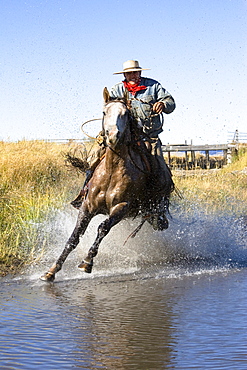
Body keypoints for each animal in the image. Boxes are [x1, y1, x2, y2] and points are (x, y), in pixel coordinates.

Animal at [40, 88, 173, 282]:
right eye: (104, 112)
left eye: (125, 114)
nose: (112, 136)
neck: (111, 170)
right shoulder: (87, 206)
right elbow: (74, 237)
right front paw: (51, 270)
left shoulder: (121, 207)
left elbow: (102, 228)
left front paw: (87, 262)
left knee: (155, 217)